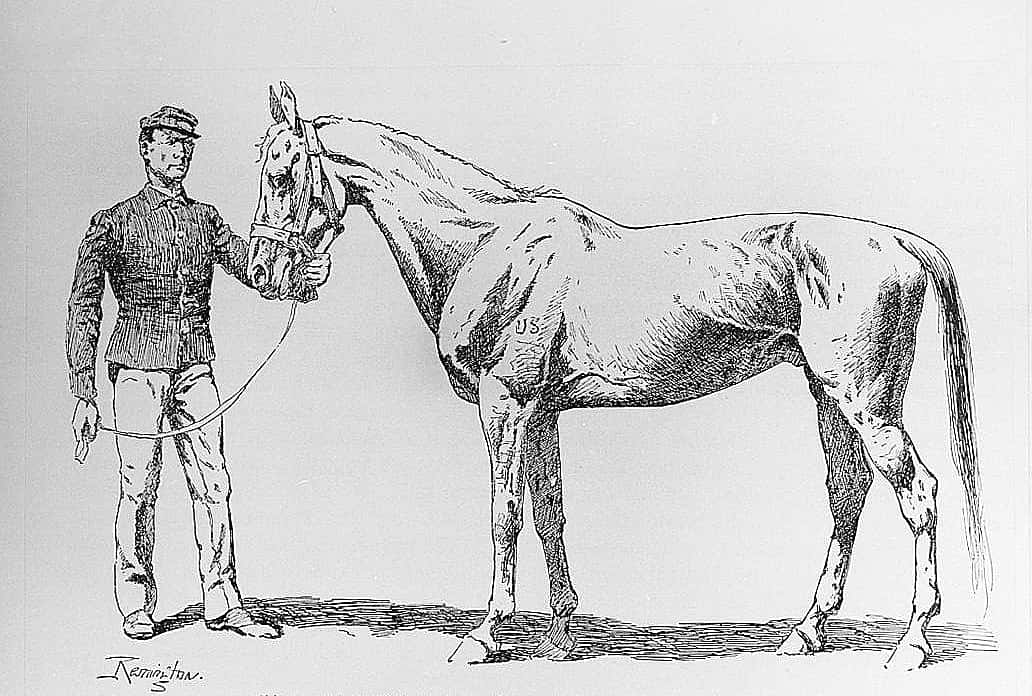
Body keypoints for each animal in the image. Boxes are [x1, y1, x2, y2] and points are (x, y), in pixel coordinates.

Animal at [247, 82, 989, 670]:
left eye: (282, 176)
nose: (262, 270)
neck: (488, 244)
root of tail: (903, 242)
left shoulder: (504, 404)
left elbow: (504, 513)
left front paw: (485, 636)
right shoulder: (542, 411)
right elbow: (548, 512)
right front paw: (560, 635)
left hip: (865, 399)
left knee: (918, 493)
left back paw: (912, 644)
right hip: (829, 396)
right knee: (847, 495)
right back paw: (804, 633)